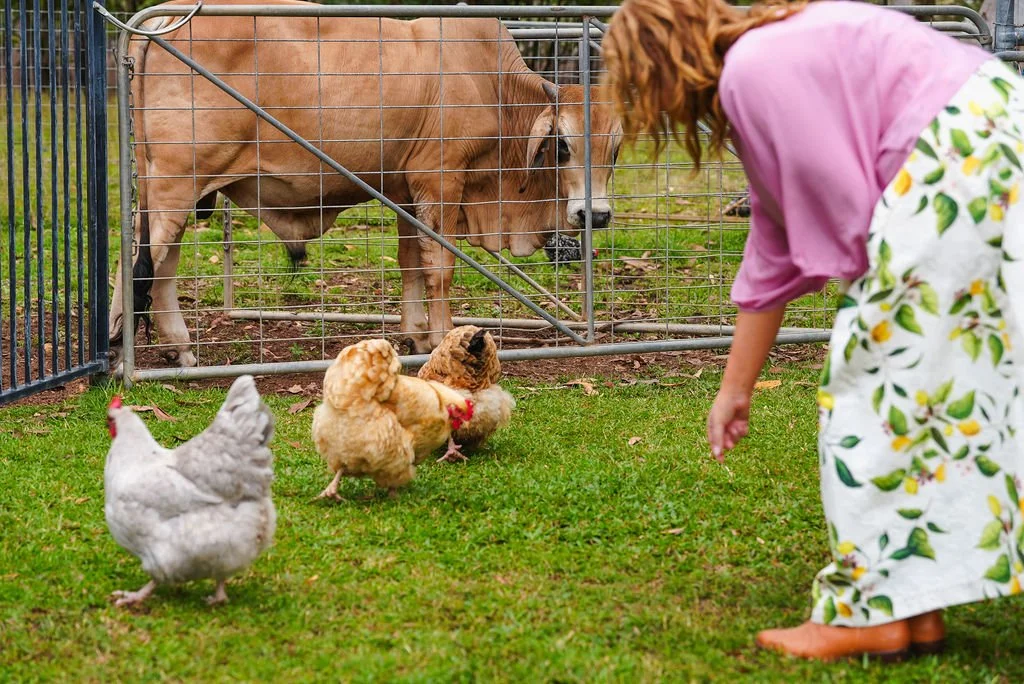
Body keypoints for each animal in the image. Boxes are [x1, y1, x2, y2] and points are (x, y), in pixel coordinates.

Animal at [109, 0, 622, 367]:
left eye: (615, 149)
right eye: (563, 145)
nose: (594, 215)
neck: (491, 89)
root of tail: (165, 18)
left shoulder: (406, 193)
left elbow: (411, 262)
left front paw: (416, 336)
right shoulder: (440, 181)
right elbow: (440, 269)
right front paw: (442, 338)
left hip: (168, 188)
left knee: (160, 263)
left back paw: (176, 347)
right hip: (176, 183)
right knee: (141, 261)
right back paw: (121, 352)